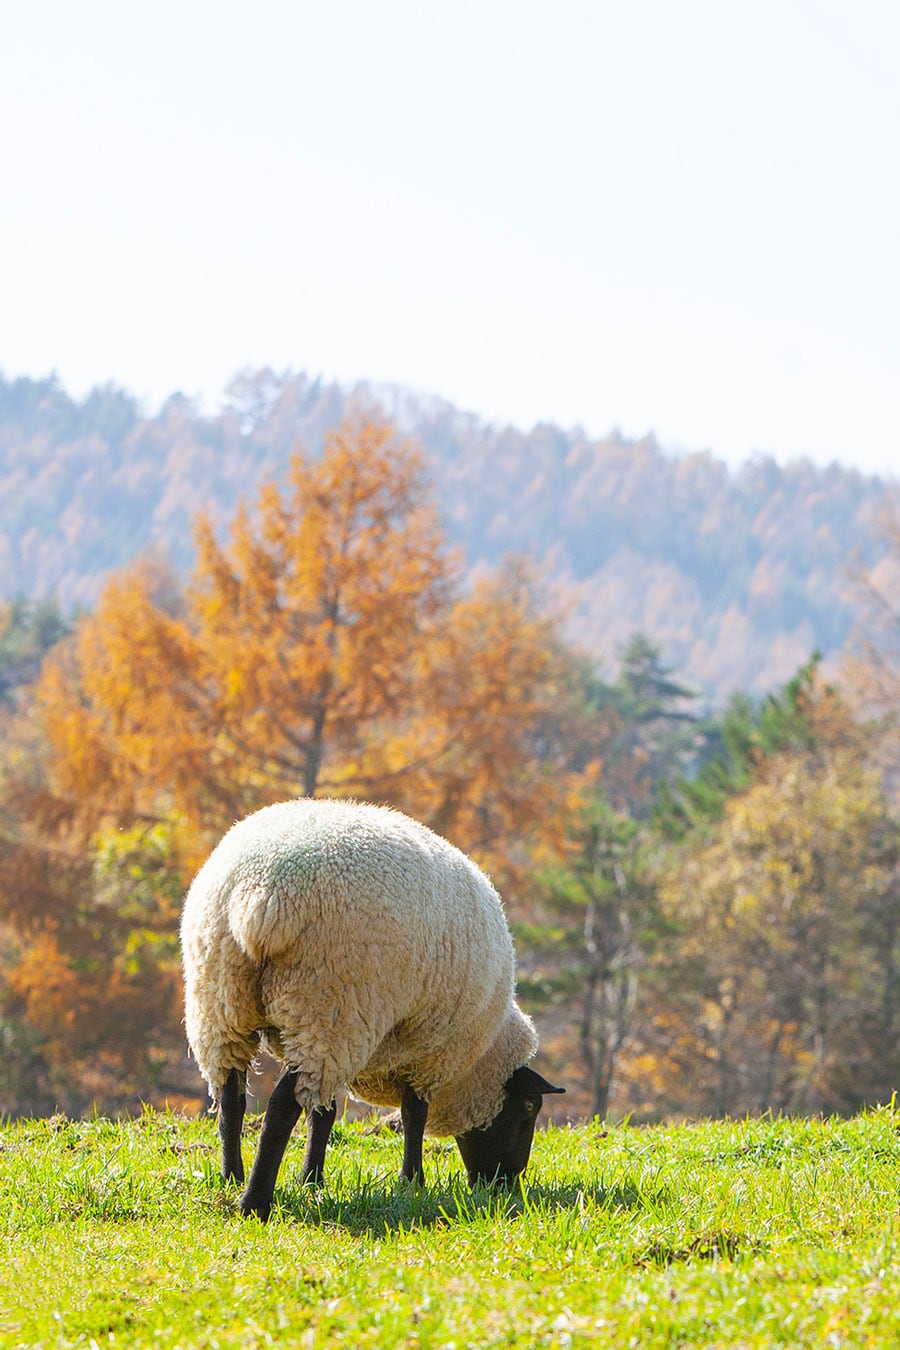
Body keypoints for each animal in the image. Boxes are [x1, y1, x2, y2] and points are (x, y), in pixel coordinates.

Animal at [180, 793, 564, 1220]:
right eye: (528, 1107)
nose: (506, 1182)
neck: (478, 1057)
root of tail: (259, 895)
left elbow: (324, 1113)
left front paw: (312, 1180)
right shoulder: (428, 1052)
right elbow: (414, 1116)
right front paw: (412, 1182)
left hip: (223, 1000)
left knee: (230, 1097)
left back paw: (231, 1177)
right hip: (329, 1000)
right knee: (280, 1106)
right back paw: (254, 1201)